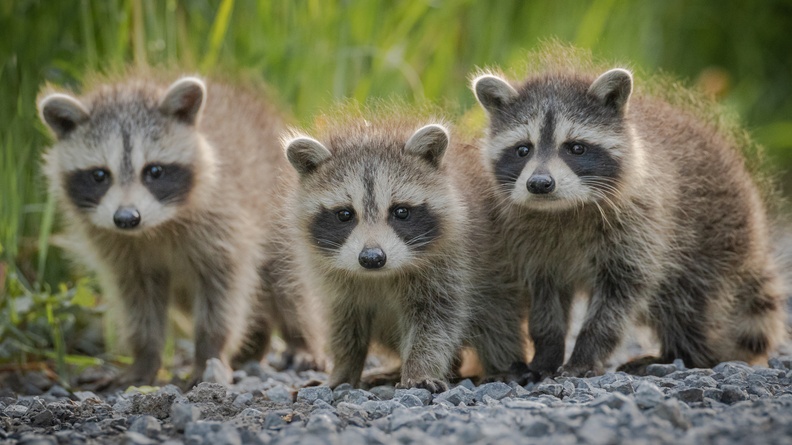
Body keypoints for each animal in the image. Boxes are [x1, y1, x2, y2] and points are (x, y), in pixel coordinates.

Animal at [38, 74, 322, 386]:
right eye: (100, 175)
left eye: (154, 171)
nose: (126, 218)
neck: (154, 227)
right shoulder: (122, 252)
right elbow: (139, 304)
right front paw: (144, 357)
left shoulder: (226, 221)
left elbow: (224, 294)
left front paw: (211, 353)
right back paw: (254, 346)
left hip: (280, 219)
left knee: (290, 283)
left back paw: (301, 341)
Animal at [281, 114, 527, 391]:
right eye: (344, 214)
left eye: (401, 212)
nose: (372, 258)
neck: (379, 276)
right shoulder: (334, 279)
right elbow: (344, 325)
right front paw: (342, 372)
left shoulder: (452, 260)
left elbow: (436, 321)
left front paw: (419, 369)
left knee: (498, 321)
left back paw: (503, 365)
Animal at [472, 67, 788, 379]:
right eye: (523, 149)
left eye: (576, 148)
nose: (539, 184)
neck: (565, 209)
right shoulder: (530, 243)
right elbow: (544, 297)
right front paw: (546, 353)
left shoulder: (642, 222)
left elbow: (619, 296)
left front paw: (586, 353)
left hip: (713, 237)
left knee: (689, 305)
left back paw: (682, 355)